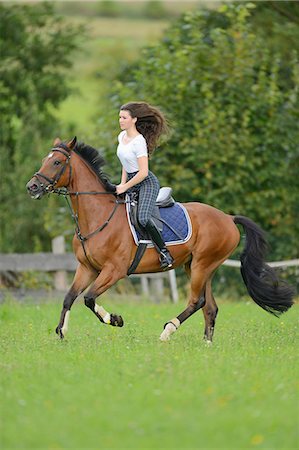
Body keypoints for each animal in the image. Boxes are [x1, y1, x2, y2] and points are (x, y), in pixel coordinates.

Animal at [26, 137, 296, 342]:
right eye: (44, 161)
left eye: (57, 162)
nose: (32, 187)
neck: (97, 217)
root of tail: (228, 218)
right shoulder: (87, 268)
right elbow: (69, 297)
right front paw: (62, 331)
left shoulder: (114, 270)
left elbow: (89, 298)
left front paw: (115, 320)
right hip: (197, 266)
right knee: (209, 307)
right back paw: (207, 345)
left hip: (202, 265)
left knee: (196, 301)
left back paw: (167, 331)